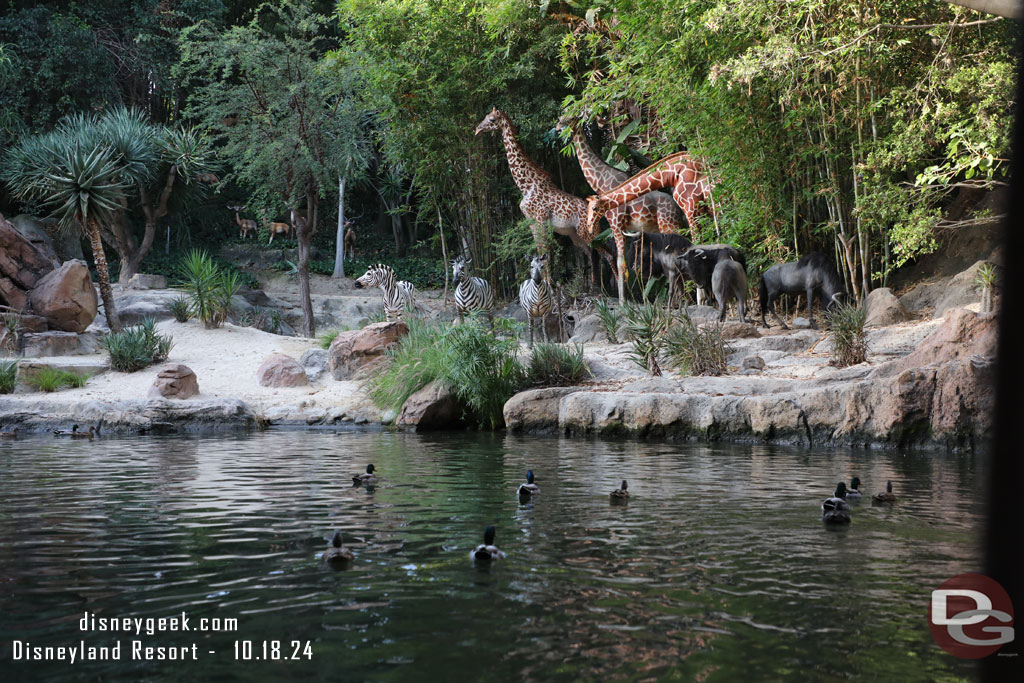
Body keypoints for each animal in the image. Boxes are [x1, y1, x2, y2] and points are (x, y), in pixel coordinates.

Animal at [557, 117, 684, 301]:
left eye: (567, 119)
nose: (558, 127)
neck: (602, 183)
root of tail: (677, 208)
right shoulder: (622, 229)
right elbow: (628, 264)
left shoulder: (616, 225)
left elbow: (621, 264)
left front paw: (624, 302)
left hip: (668, 225)